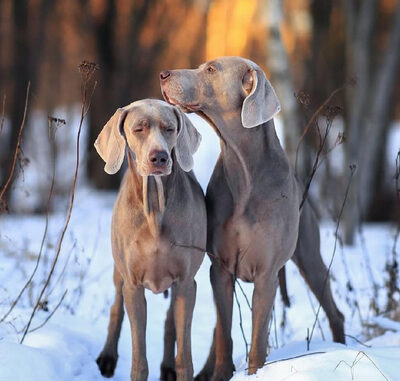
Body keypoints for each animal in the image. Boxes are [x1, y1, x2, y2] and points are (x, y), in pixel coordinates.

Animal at [94, 98, 206, 380]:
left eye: (170, 129)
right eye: (138, 129)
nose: (160, 157)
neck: (155, 205)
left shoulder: (186, 283)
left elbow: (184, 354)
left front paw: (178, 369)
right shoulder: (133, 285)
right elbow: (139, 358)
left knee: (170, 322)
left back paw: (166, 367)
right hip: (119, 273)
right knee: (116, 307)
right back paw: (108, 357)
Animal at [161, 56, 346, 378]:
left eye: (211, 69)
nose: (163, 74)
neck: (244, 171)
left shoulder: (266, 274)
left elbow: (258, 339)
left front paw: (255, 373)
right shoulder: (220, 269)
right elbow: (224, 333)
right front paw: (222, 373)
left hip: (310, 257)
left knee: (335, 311)